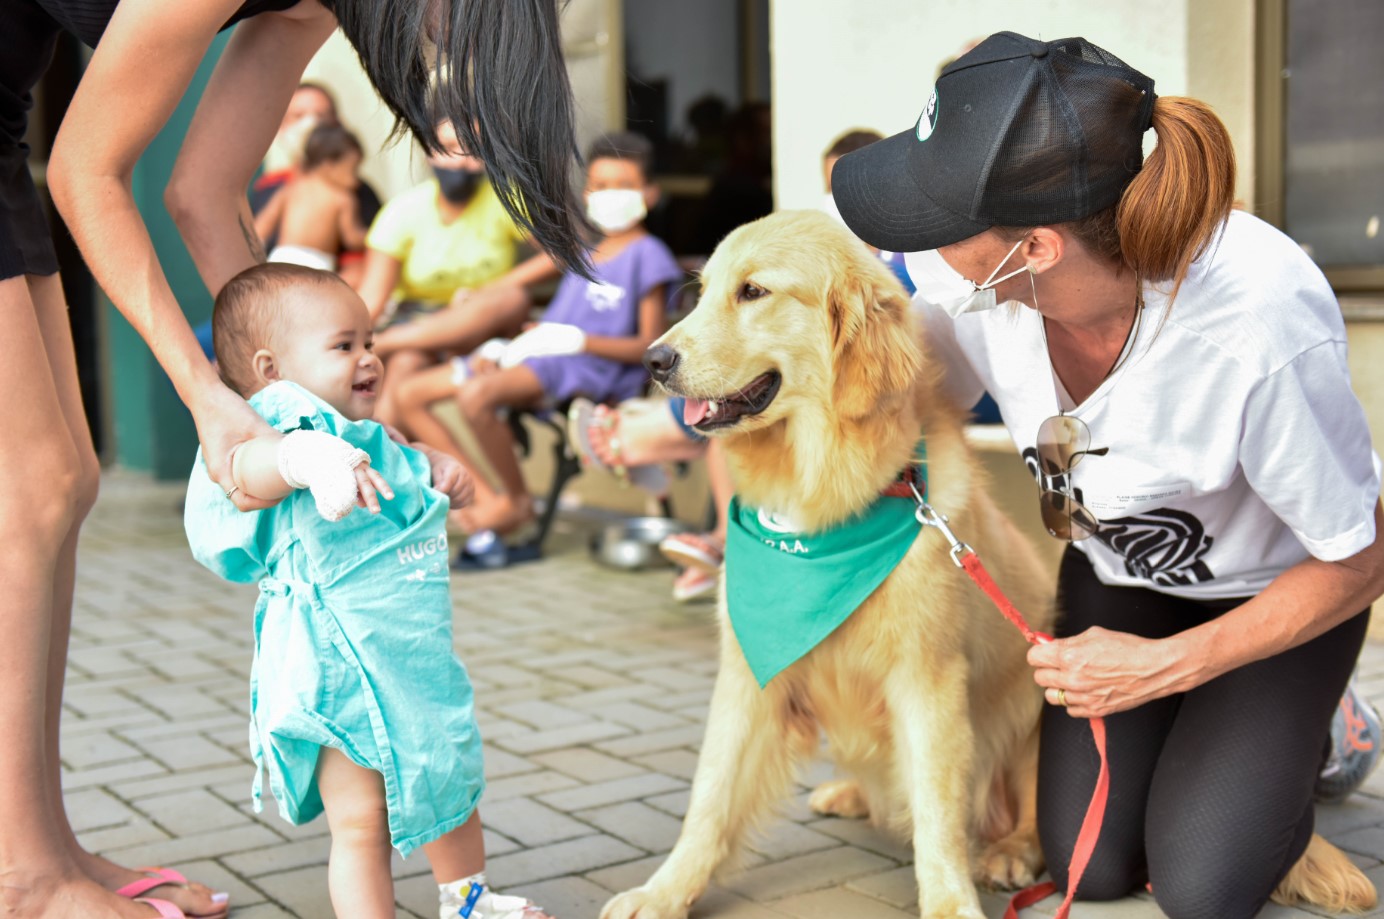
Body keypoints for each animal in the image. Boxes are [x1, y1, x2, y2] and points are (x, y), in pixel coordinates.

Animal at [597, 210, 1057, 919]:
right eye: (701, 292)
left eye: (753, 292)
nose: (653, 361)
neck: (818, 508)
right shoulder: (746, 674)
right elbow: (709, 797)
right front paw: (665, 890)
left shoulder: (928, 678)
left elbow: (939, 811)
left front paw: (950, 901)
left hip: (1042, 694)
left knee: (1029, 809)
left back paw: (1009, 851)